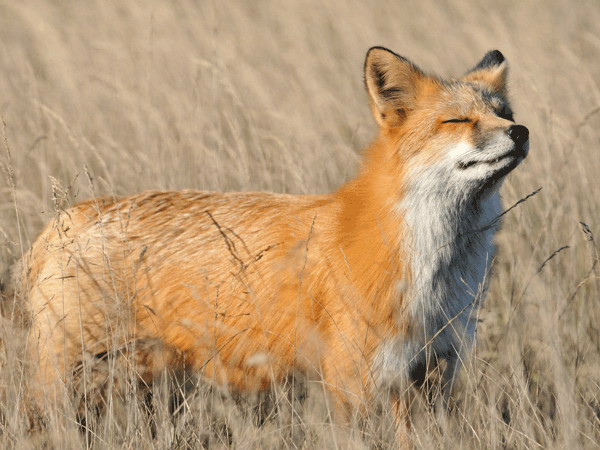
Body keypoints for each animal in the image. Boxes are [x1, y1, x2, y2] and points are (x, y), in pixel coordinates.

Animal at [7, 45, 528, 440]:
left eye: (504, 113)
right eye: (458, 121)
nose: (520, 132)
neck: (434, 269)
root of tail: (68, 217)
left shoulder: (433, 375)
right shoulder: (356, 381)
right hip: (68, 384)